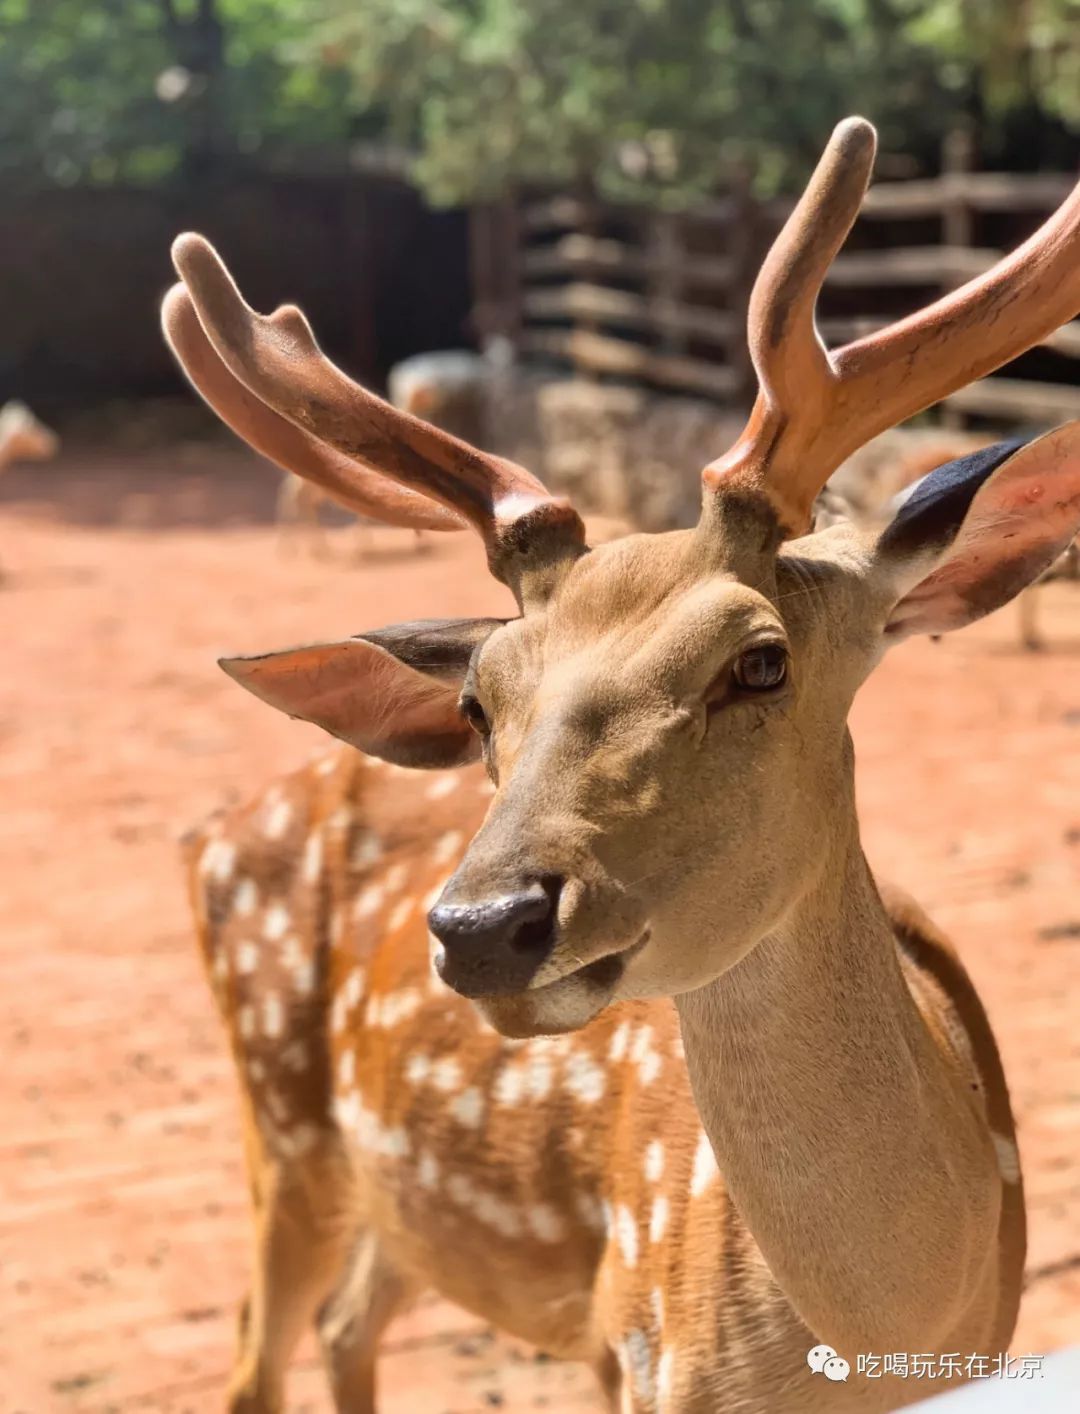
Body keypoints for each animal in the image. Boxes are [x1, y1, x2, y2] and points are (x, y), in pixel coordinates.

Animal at [162, 115, 1080, 1408]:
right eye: (479, 702)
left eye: (761, 661)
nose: (483, 925)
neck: (892, 1339)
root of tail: (214, 831)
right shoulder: (642, 1350)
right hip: (282, 1127)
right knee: (255, 1352)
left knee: (346, 1324)